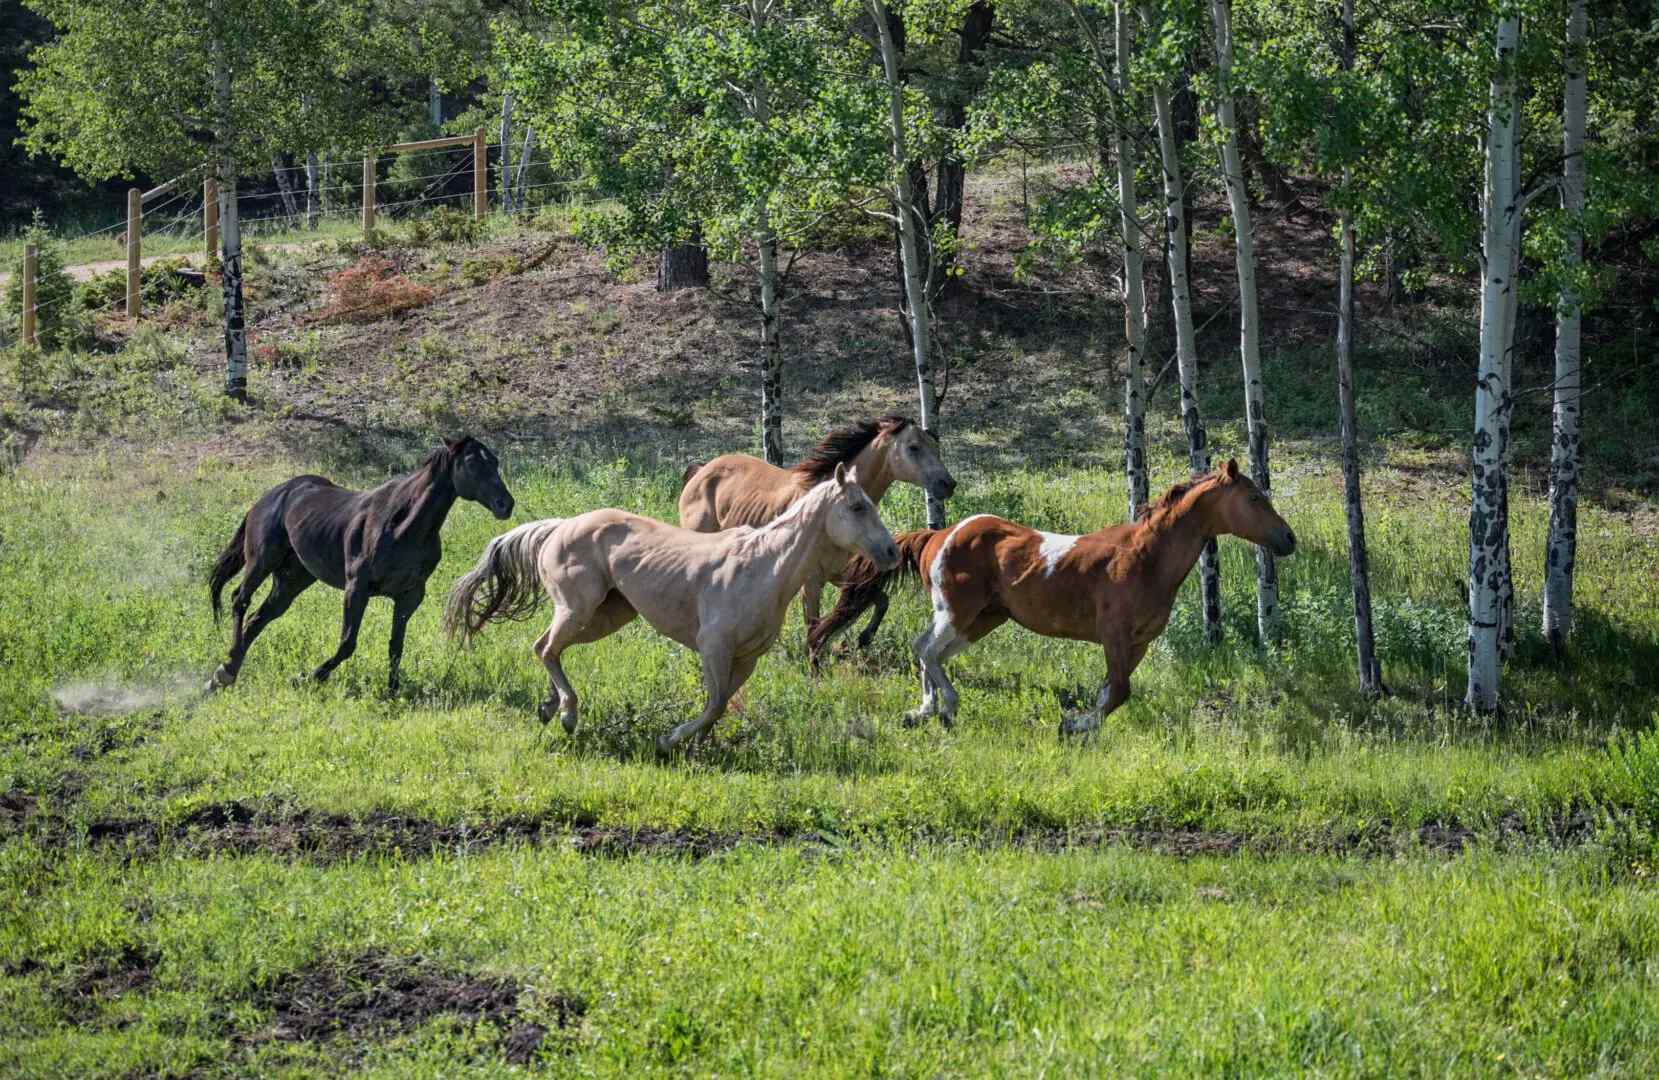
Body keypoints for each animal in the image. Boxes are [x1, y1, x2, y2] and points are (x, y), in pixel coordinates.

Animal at [210, 434, 514, 693]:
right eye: (472, 462)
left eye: (495, 462)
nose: (506, 504)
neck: (403, 526)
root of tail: (273, 495)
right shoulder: (356, 589)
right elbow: (347, 643)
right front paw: (309, 677)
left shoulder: (409, 596)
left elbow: (396, 645)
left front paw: (392, 691)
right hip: (262, 560)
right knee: (240, 600)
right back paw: (225, 670)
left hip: (291, 579)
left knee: (258, 618)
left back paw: (227, 671)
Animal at [444, 461, 895, 753]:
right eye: (858, 507)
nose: (889, 552)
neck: (763, 567)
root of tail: (560, 526)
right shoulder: (714, 647)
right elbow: (715, 704)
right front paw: (668, 741)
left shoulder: (746, 658)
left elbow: (718, 708)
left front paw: (701, 750)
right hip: (577, 609)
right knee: (545, 649)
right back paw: (568, 715)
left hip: (605, 616)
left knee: (547, 649)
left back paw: (548, 708)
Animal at [806, 461, 1294, 739]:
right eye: (1254, 497)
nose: (1288, 540)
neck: (1144, 558)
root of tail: (940, 536)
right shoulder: (1115, 636)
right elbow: (1119, 690)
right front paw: (1073, 725)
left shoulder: (1138, 643)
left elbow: (1110, 692)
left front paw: (1082, 728)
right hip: (958, 612)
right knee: (926, 649)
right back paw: (944, 707)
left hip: (982, 619)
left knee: (929, 651)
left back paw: (926, 711)